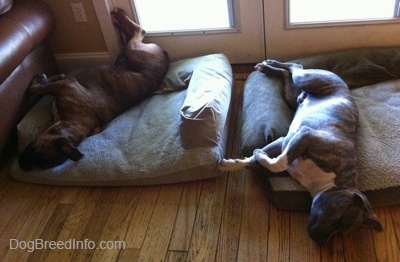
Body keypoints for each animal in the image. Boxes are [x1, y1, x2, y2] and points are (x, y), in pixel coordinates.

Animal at [19, 8, 169, 170]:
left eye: (38, 157)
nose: (23, 165)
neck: (72, 121)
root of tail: (165, 56)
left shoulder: (66, 86)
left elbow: (36, 89)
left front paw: (37, 82)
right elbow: (52, 81)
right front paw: (52, 76)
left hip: (132, 50)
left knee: (139, 31)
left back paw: (120, 17)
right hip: (121, 58)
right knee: (129, 37)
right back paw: (119, 20)